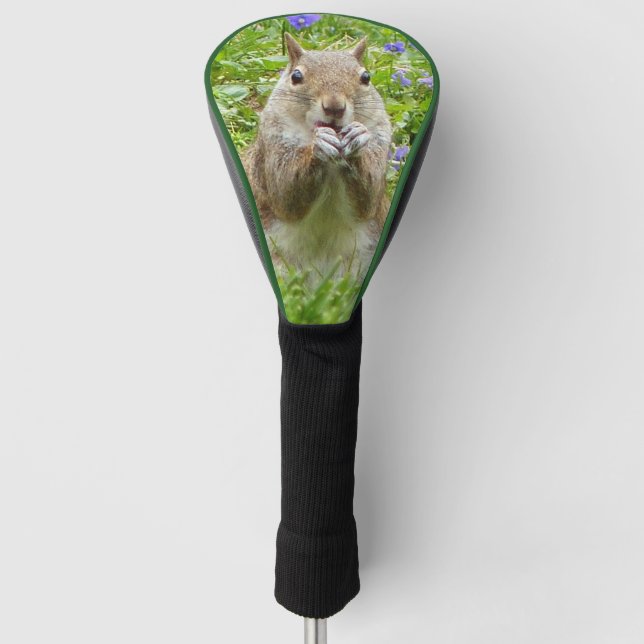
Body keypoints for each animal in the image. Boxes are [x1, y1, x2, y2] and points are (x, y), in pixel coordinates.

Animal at [242, 33, 392, 279]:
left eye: (366, 77)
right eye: (296, 76)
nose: (334, 107)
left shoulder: (380, 139)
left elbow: (368, 199)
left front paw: (357, 135)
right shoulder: (272, 144)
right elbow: (285, 193)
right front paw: (318, 146)